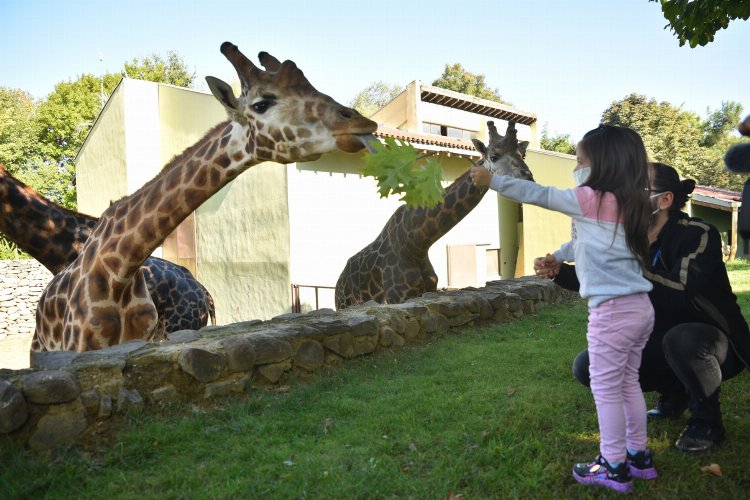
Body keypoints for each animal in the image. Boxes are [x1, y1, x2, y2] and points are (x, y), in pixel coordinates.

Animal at [334, 121, 536, 308]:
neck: (416, 244)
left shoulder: (428, 290)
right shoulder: (397, 297)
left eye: (523, 154)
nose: (529, 178)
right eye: (494, 156)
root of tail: (339, 282)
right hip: (344, 304)